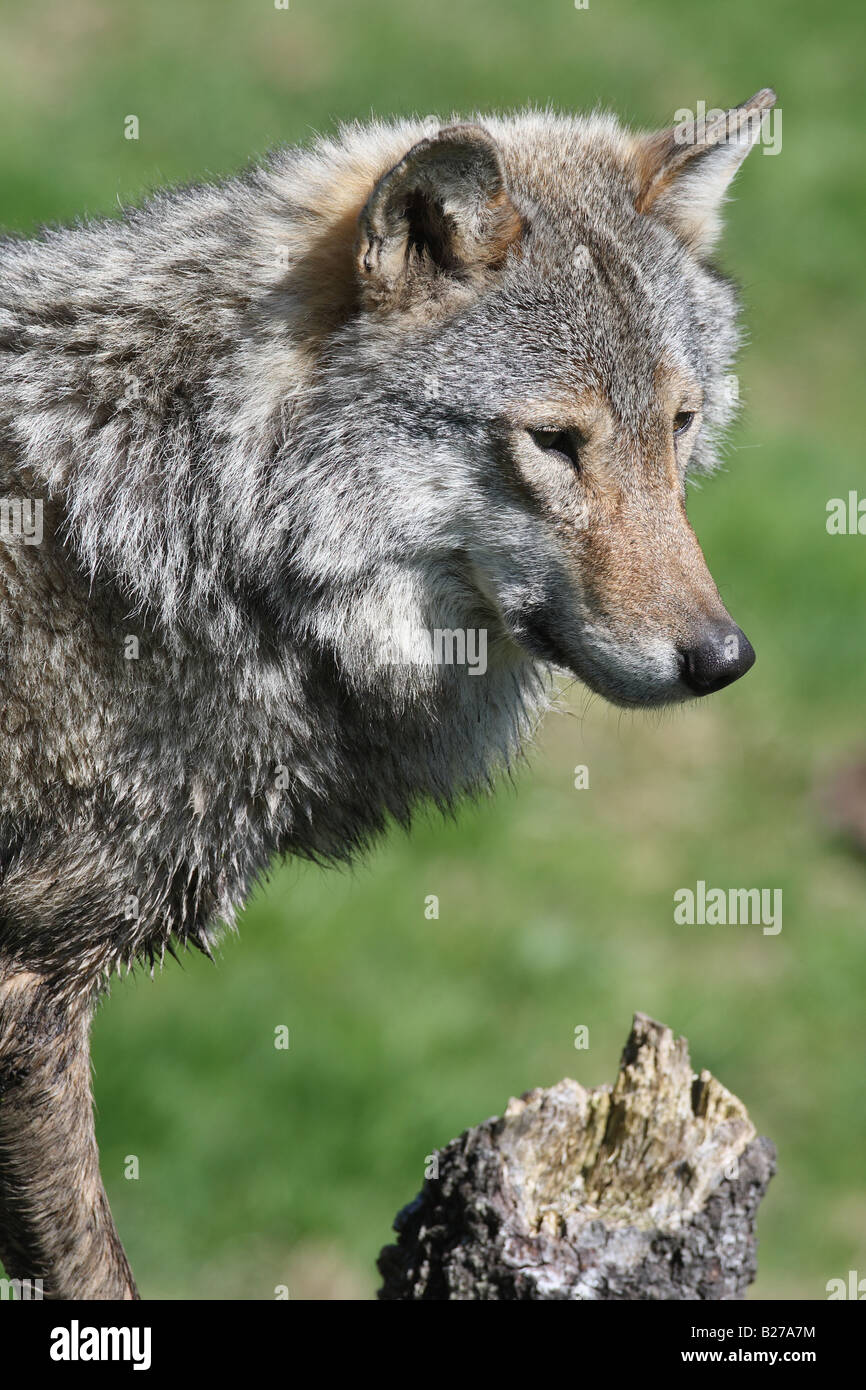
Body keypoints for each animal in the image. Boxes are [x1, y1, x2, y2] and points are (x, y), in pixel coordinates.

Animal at [0, 88, 774, 1299]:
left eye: (679, 425)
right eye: (555, 442)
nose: (720, 658)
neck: (189, 523)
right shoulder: (31, 987)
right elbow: (93, 1265)